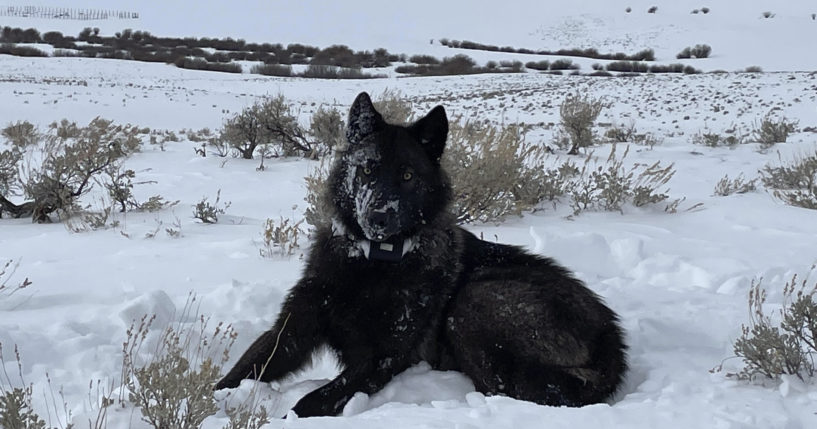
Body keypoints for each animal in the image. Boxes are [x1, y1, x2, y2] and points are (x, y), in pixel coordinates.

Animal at [215, 92, 624, 416]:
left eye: (408, 176)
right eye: (367, 168)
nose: (378, 216)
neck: (373, 264)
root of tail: (611, 339)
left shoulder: (382, 358)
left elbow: (310, 402)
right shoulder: (292, 330)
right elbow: (239, 372)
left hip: (476, 301)